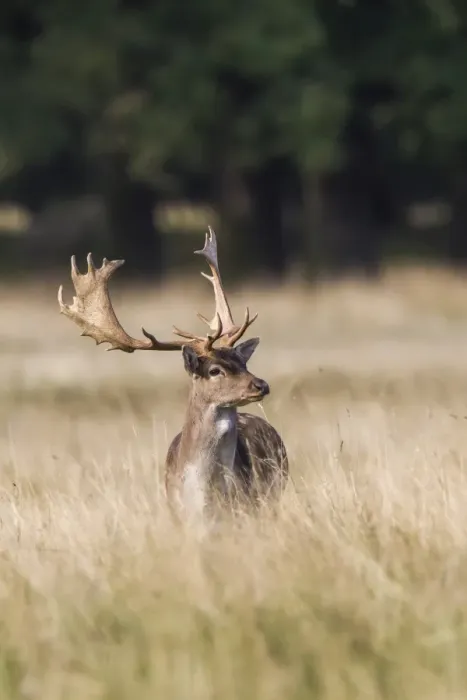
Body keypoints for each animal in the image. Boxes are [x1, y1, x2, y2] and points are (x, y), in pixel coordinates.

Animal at [57, 228, 288, 524]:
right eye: (215, 370)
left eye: (243, 362)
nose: (261, 385)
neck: (205, 494)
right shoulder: (178, 513)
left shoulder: (245, 506)